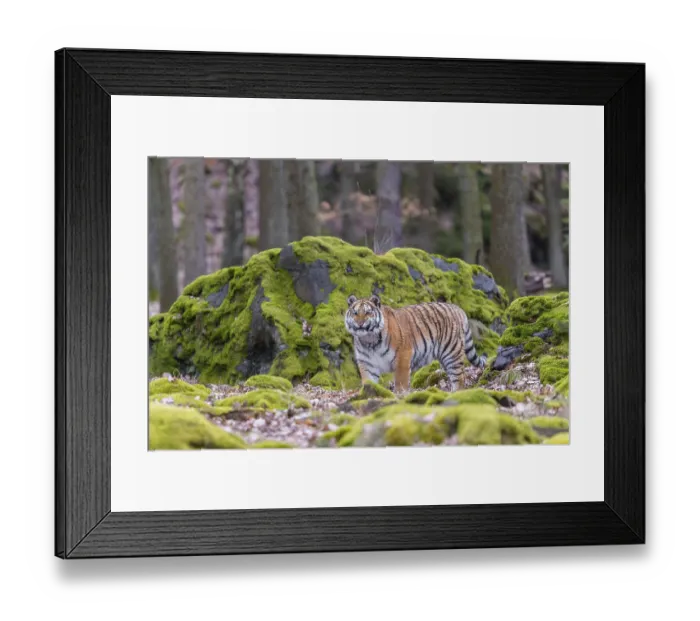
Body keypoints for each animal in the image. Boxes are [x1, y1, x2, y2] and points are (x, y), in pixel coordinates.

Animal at [344, 294, 487, 393]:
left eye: (368, 312)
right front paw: (367, 394)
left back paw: (457, 393)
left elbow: (400, 380)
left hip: (452, 353)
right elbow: (368, 382)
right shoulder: (367, 363)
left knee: (460, 377)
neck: (369, 340)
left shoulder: (403, 355)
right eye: (355, 313)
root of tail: (458, 309)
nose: (360, 323)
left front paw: (399, 394)